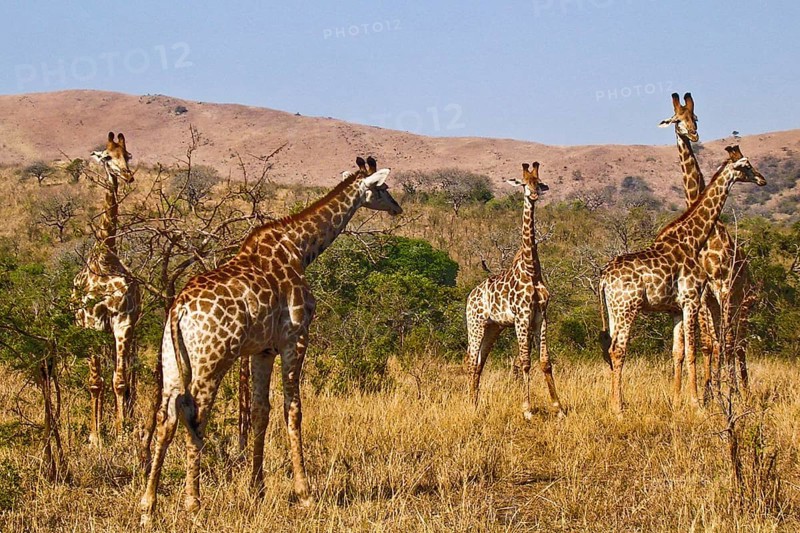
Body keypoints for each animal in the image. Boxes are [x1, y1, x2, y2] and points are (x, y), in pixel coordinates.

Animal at [139, 156, 402, 524]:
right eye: (383, 188)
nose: (397, 208)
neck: (300, 248)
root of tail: (178, 310)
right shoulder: (296, 339)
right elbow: (293, 409)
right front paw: (304, 494)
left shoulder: (261, 350)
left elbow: (260, 411)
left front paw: (257, 490)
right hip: (211, 361)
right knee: (194, 416)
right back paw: (193, 504)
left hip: (172, 360)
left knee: (166, 417)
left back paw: (148, 506)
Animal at [465, 162, 564, 420]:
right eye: (523, 183)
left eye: (539, 182)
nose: (534, 195)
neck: (532, 269)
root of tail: (470, 296)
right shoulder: (522, 317)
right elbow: (525, 361)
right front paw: (527, 410)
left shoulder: (541, 316)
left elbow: (545, 362)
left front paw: (558, 408)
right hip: (475, 324)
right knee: (470, 360)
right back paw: (469, 405)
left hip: (493, 327)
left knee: (479, 363)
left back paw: (475, 404)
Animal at [599, 146, 766, 415]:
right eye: (747, 166)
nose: (762, 179)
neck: (692, 239)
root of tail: (604, 277)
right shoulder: (691, 300)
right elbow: (693, 351)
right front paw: (696, 403)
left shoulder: (676, 308)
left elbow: (678, 351)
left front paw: (678, 402)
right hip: (628, 307)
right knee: (618, 349)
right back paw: (619, 409)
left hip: (613, 310)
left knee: (613, 350)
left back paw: (616, 403)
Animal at [659, 92, 753, 399]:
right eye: (677, 119)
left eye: (695, 117)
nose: (693, 134)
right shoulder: (702, 295)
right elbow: (704, 345)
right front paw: (696, 392)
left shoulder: (719, 287)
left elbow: (718, 343)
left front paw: (717, 390)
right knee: (726, 342)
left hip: (740, 299)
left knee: (737, 342)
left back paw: (741, 390)